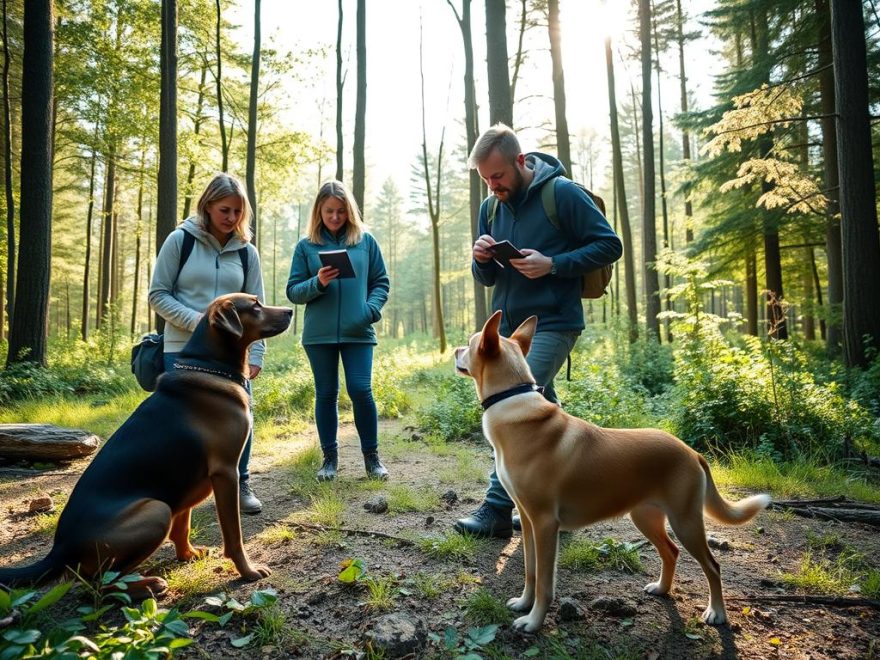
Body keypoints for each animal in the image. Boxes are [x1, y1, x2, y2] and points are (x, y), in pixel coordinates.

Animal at [0, 294, 296, 592]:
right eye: (255, 305)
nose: (291, 311)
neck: (211, 367)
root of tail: (59, 549)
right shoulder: (226, 472)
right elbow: (234, 536)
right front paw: (247, 570)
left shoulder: (187, 484)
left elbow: (182, 527)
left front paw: (188, 555)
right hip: (157, 510)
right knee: (98, 582)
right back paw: (147, 585)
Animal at [454, 314, 768, 636]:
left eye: (469, 343)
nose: (454, 350)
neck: (512, 401)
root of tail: (692, 452)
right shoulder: (528, 522)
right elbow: (531, 573)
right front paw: (523, 603)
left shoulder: (544, 524)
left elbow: (544, 583)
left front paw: (534, 621)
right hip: (646, 517)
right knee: (671, 552)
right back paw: (662, 588)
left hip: (686, 522)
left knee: (712, 566)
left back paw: (716, 612)